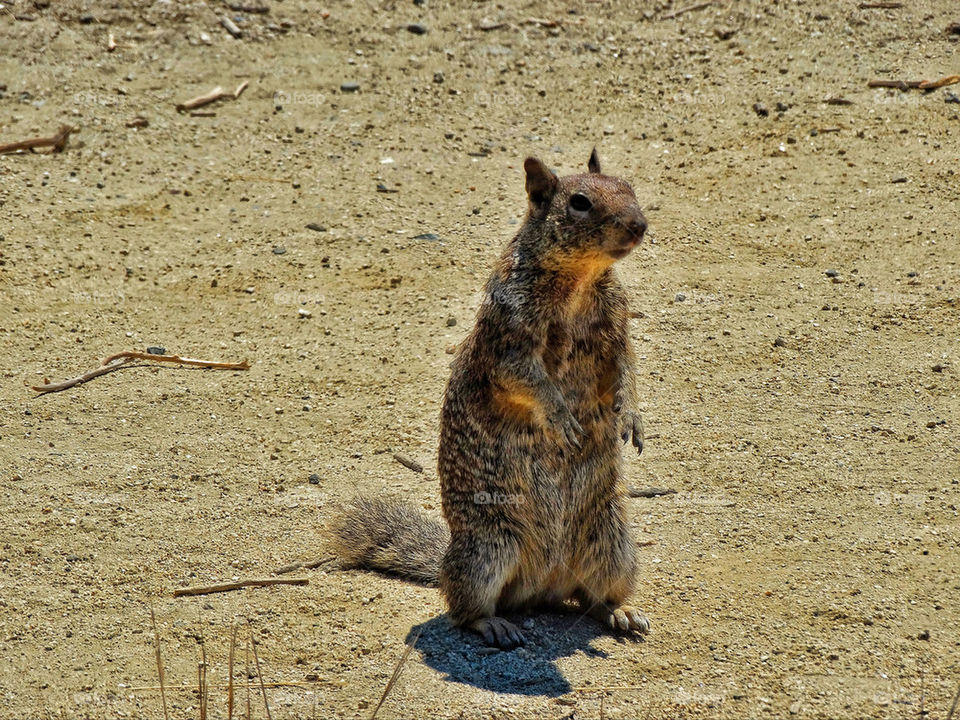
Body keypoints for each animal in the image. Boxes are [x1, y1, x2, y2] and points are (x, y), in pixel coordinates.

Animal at [330, 149, 650, 649]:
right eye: (579, 202)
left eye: (629, 186)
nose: (639, 225)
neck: (579, 281)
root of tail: (544, 587)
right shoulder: (508, 340)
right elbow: (528, 380)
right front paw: (561, 416)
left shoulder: (616, 326)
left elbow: (628, 369)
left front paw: (631, 417)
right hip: (487, 551)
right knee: (463, 608)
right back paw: (494, 624)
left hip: (614, 546)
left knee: (592, 599)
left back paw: (622, 612)